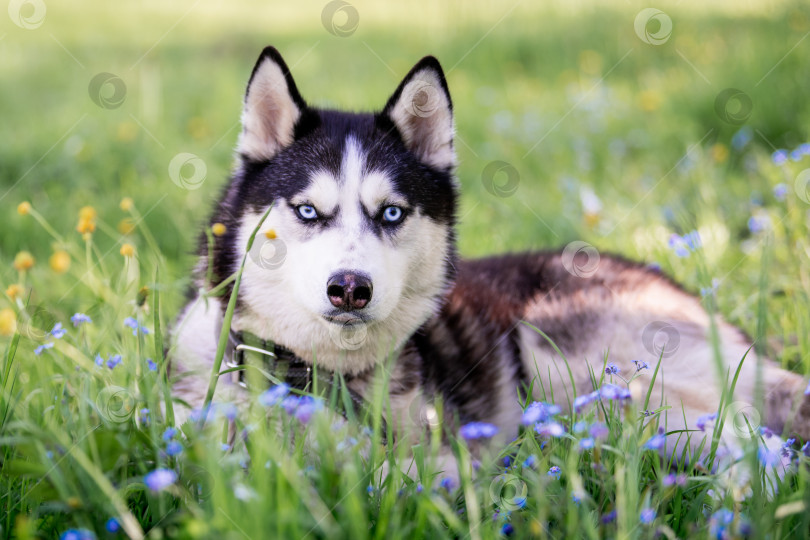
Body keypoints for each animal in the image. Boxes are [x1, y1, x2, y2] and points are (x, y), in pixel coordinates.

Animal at [172, 46, 808, 474]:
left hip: (571, 362)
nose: (349, 288)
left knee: (747, 436)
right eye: (307, 210)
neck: (310, 374)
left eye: (392, 213)